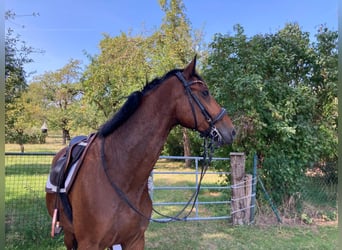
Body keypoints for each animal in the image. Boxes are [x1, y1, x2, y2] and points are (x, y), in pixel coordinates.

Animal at [46, 57, 235, 250]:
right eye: (205, 92)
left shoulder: (135, 240)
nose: (232, 131)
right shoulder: (89, 243)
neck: (121, 175)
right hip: (69, 235)